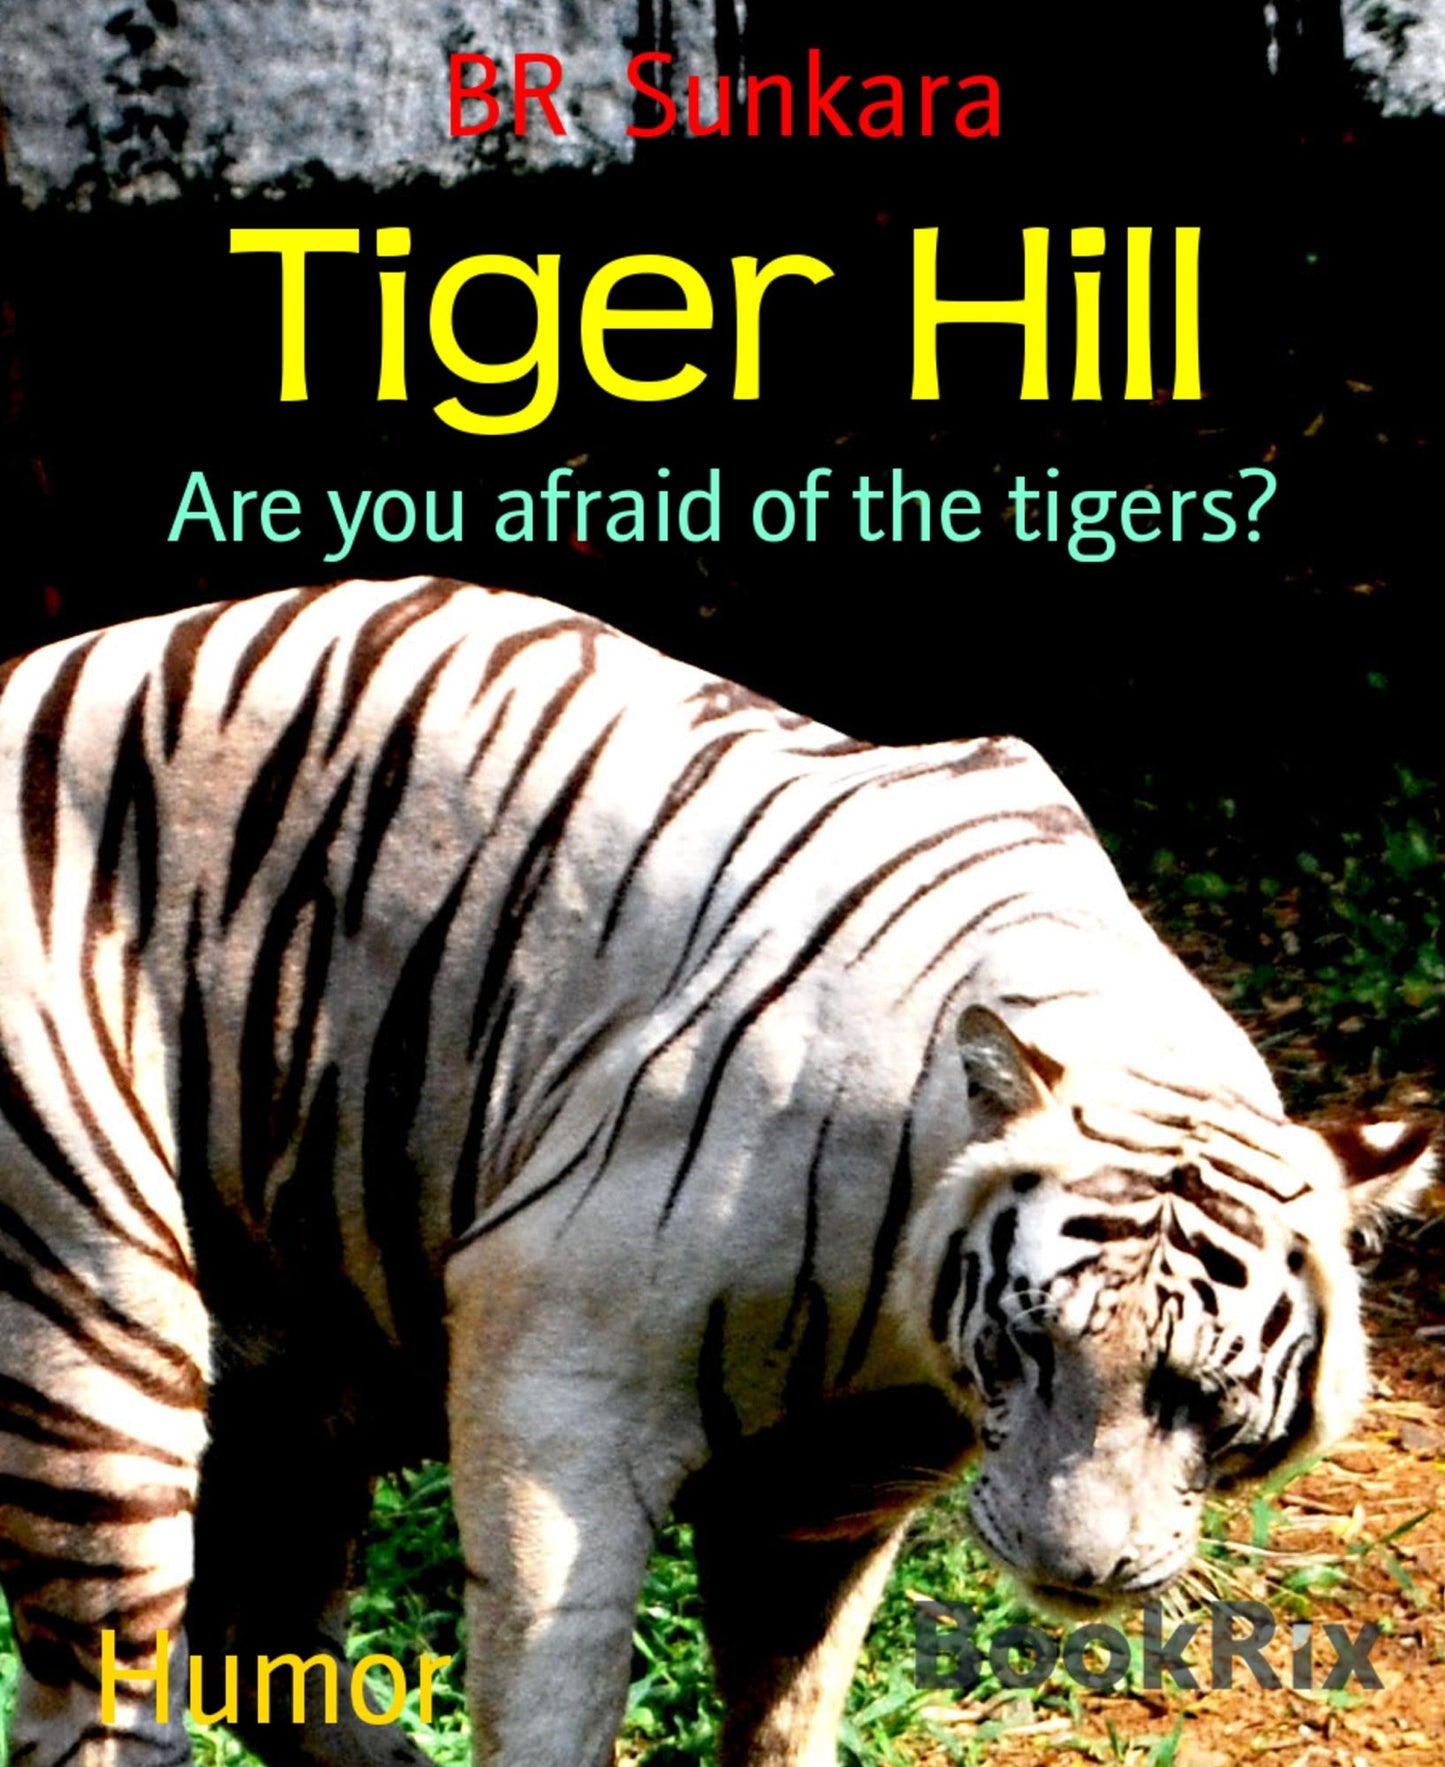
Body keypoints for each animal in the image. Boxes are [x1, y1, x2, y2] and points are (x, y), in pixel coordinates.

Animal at [0, 575, 1434, 1767]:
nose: (1074, 1565)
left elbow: (786, 1711)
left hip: (307, 1367)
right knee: (108, 1689)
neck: (901, 1341)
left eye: (1196, 1392)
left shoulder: (824, 1496)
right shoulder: (553, 1385)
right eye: (1029, 1349)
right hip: (92, 1314)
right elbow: (554, 1696)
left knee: (259, 1631)